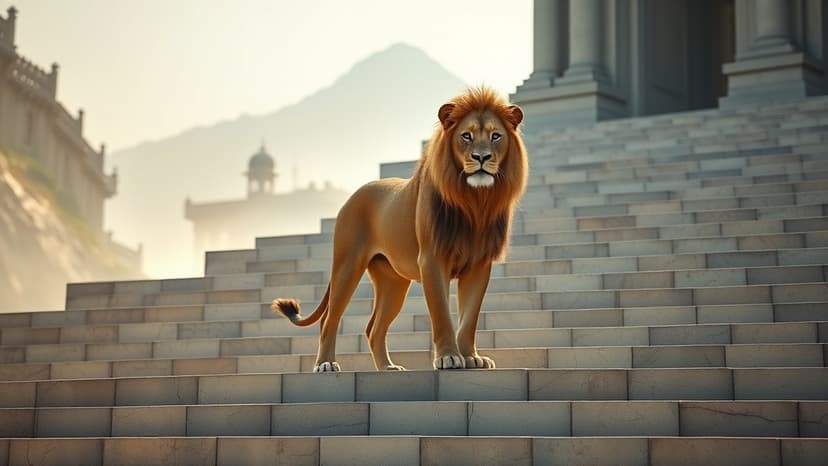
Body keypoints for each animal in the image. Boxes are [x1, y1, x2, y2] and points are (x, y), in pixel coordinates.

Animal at [272, 86, 528, 372]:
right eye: (466, 136)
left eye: (496, 136)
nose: (481, 157)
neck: (474, 201)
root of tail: (356, 193)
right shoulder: (432, 259)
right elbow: (441, 314)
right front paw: (449, 358)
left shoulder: (479, 265)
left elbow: (469, 318)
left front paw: (471, 357)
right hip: (347, 265)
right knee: (330, 320)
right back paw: (326, 364)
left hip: (393, 282)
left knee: (374, 328)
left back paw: (387, 367)